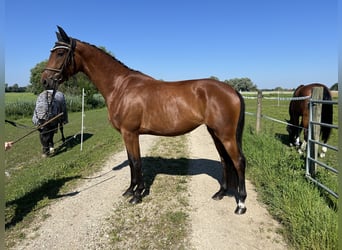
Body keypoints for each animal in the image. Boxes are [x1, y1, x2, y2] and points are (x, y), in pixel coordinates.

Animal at [41, 25, 247, 215]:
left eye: (60, 53)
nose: (45, 80)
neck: (120, 86)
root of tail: (232, 90)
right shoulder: (127, 135)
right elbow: (132, 161)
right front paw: (130, 190)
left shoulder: (130, 133)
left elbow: (137, 161)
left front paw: (137, 195)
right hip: (215, 133)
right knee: (225, 160)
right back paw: (220, 193)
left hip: (225, 135)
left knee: (238, 162)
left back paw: (241, 204)